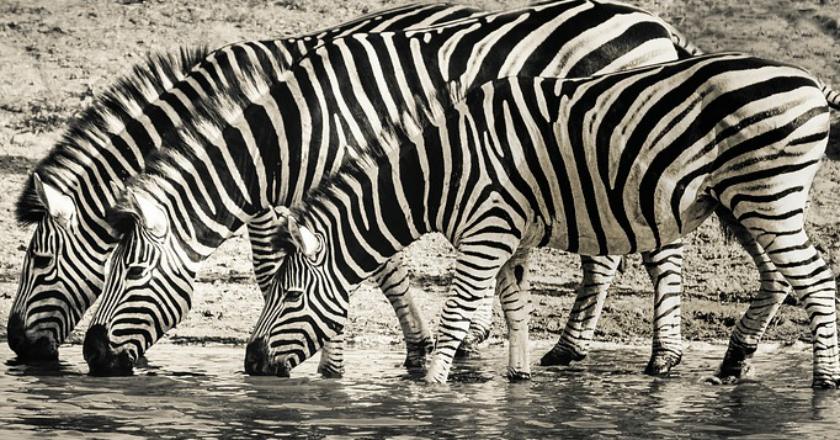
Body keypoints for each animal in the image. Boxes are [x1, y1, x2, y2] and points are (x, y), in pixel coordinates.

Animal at [81, 0, 714, 376]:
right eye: (103, 268)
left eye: (130, 272)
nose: (90, 355)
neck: (289, 130)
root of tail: (659, 26)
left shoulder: (341, 178)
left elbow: (349, 267)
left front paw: (339, 365)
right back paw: (564, 349)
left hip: (630, 161)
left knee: (655, 254)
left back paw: (661, 356)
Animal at [248, 53, 838, 386]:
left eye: (290, 297)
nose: (250, 364)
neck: (441, 171)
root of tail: (809, 80)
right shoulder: (510, 236)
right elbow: (515, 307)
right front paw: (518, 375)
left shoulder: (485, 233)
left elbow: (456, 315)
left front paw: (429, 388)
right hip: (741, 202)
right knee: (780, 277)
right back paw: (733, 364)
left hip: (766, 195)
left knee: (815, 279)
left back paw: (823, 382)